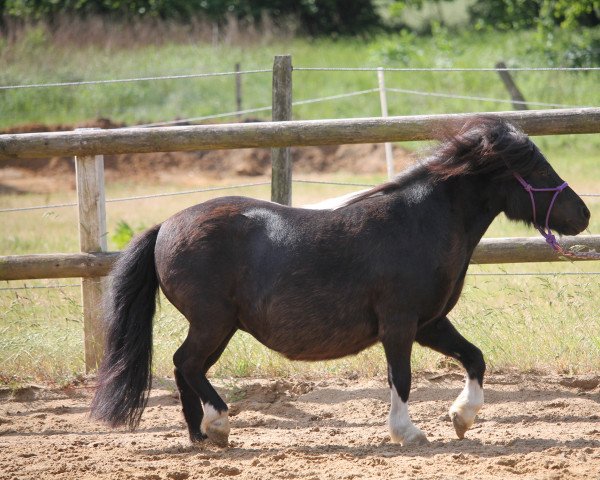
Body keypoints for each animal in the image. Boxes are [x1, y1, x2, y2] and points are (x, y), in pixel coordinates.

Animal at [90, 116, 592, 446]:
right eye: (537, 170)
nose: (584, 215)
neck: (420, 223)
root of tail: (165, 226)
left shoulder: (429, 323)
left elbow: (475, 357)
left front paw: (461, 418)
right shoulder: (398, 323)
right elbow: (402, 377)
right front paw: (408, 433)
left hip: (220, 326)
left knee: (184, 368)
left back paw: (201, 435)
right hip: (213, 322)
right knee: (187, 364)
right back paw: (218, 425)